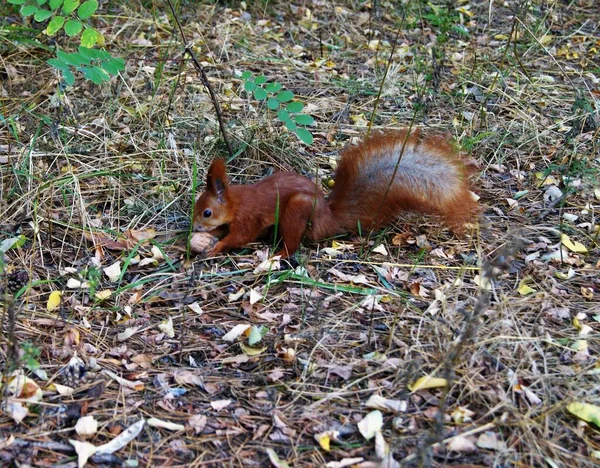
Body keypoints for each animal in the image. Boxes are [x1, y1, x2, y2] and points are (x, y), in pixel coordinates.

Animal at [193, 130, 478, 258]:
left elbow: (240, 237)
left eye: (207, 212)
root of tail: (328, 219)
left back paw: (278, 255)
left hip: (298, 209)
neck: (235, 203)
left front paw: (217, 246)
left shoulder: (248, 217)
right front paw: (210, 238)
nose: (194, 227)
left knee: (293, 243)